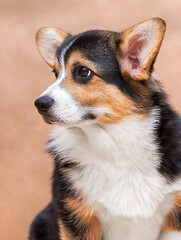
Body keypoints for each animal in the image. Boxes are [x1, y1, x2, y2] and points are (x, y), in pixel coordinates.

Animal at [29, 17, 181, 239]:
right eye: (55, 73)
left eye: (83, 72)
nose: (39, 104)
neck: (114, 143)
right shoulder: (78, 218)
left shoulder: (174, 219)